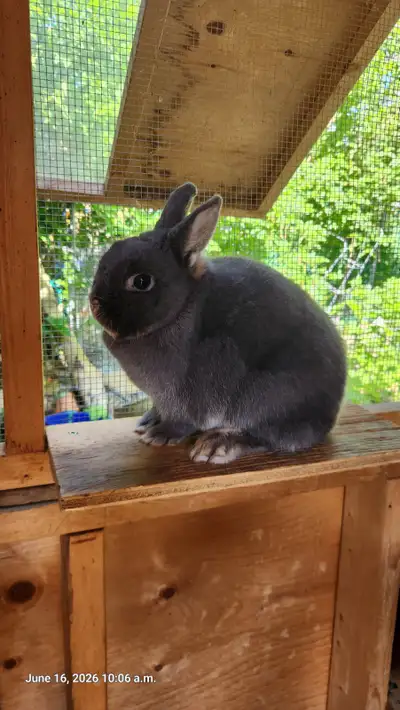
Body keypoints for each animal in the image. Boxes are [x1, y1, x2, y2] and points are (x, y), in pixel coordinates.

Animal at [90, 182, 347, 465]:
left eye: (141, 281)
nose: (94, 303)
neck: (182, 308)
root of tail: (329, 416)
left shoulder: (187, 392)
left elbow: (182, 419)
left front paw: (159, 434)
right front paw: (149, 420)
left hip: (268, 395)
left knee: (273, 437)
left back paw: (218, 444)